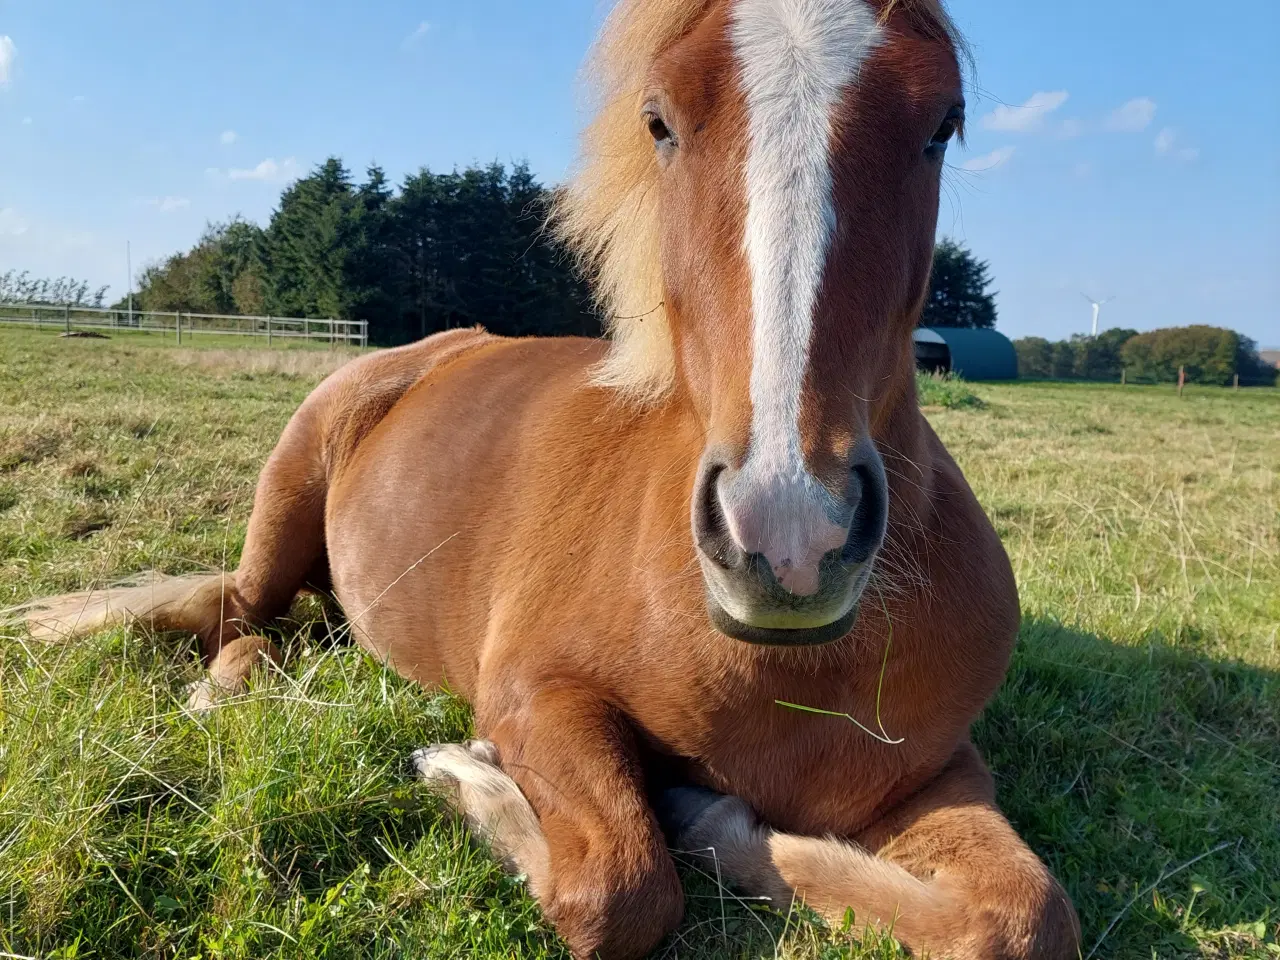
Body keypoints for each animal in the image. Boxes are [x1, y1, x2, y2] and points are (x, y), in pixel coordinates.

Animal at [24, 1, 1075, 960]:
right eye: (659, 120)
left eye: (942, 122)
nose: (788, 535)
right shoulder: (536, 693)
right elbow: (618, 887)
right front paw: (470, 780)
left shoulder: (935, 771)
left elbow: (1019, 919)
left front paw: (714, 821)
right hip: (285, 509)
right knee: (239, 622)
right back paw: (228, 693)